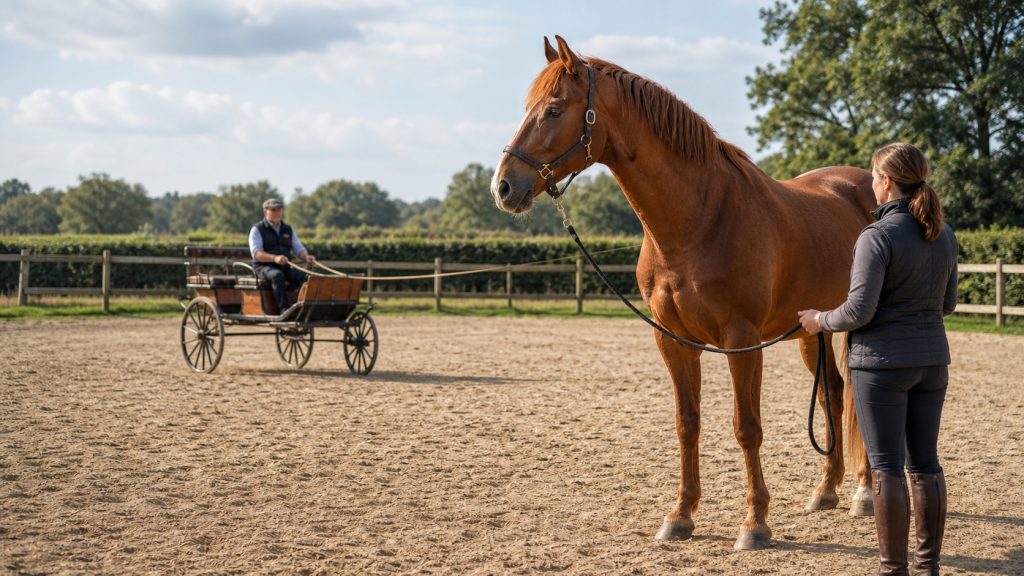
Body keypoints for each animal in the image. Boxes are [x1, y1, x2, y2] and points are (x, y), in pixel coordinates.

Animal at [491, 36, 878, 550]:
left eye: (553, 109)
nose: (503, 186)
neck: (699, 219)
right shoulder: (672, 340)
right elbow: (687, 424)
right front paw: (681, 515)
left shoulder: (741, 341)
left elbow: (746, 427)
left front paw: (755, 523)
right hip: (809, 333)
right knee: (833, 393)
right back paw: (826, 491)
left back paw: (865, 493)